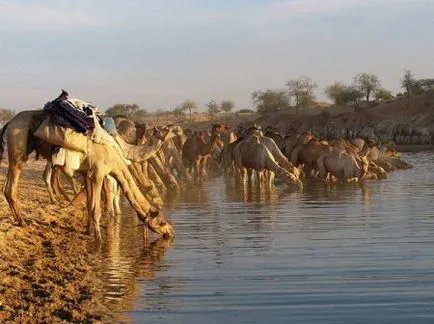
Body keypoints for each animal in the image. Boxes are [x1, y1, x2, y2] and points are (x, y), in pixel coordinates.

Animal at [2, 111, 175, 240]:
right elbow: (97, 207)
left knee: (6, 186)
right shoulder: (99, 173)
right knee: (13, 186)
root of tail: (10, 122)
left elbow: (90, 204)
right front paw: (99, 238)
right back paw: (23, 221)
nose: (171, 232)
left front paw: (88, 231)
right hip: (19, 149)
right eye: (161, 221)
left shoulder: (88, 174)